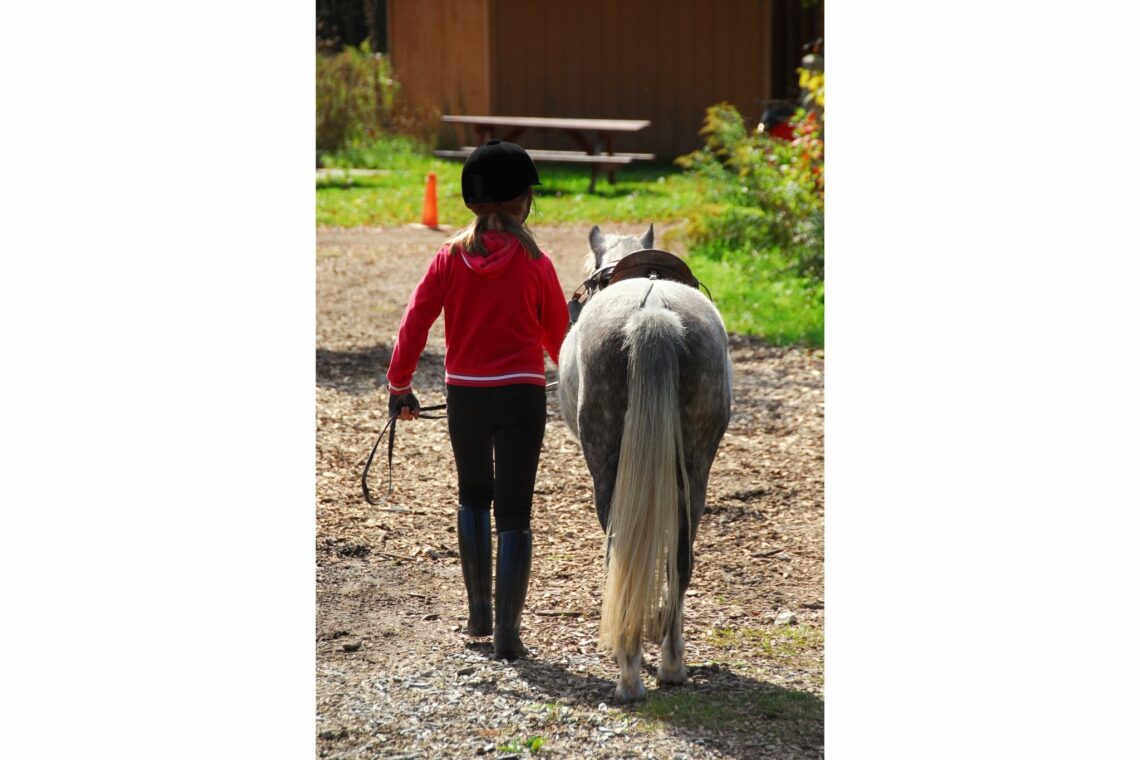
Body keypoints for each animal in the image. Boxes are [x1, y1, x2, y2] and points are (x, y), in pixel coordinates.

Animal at [558, 224, 733, 702]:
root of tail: (654, 315)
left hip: (605, 467)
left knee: (619, 553)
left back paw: (629, 675)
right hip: (696, 467)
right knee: (682, 559)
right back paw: (672, 665)